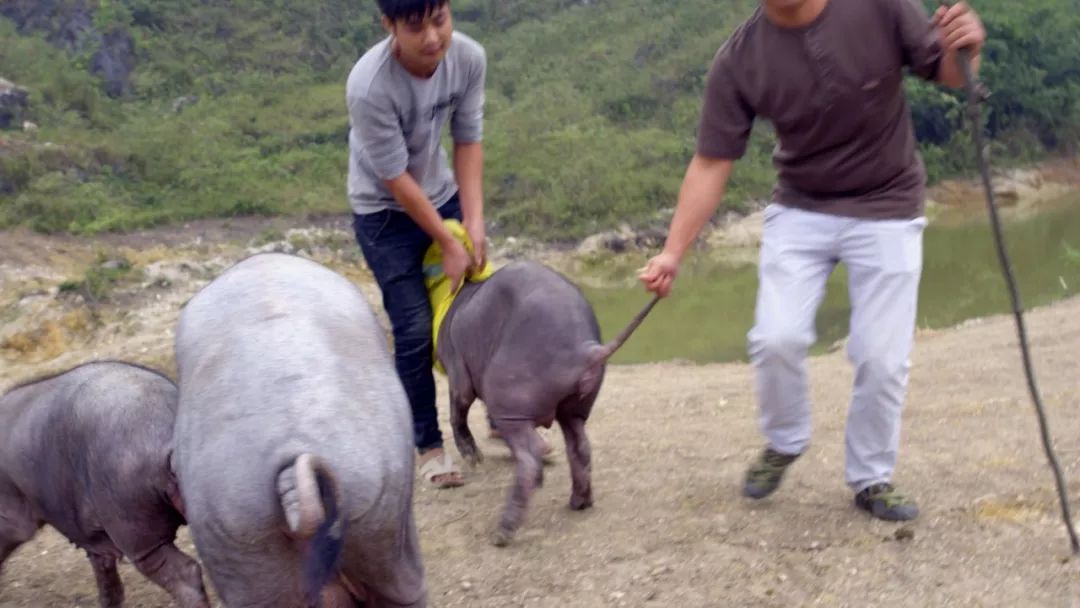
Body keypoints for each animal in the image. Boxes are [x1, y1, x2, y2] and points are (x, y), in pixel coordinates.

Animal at [432, 261, 652, 546]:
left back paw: (502, 532)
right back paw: (579, 503)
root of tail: (586, 349)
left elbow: (457, 409)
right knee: (580, 448)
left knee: (530, 455)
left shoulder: (458, 371)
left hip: (508, 401)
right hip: (573, 409)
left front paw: (474, 458)